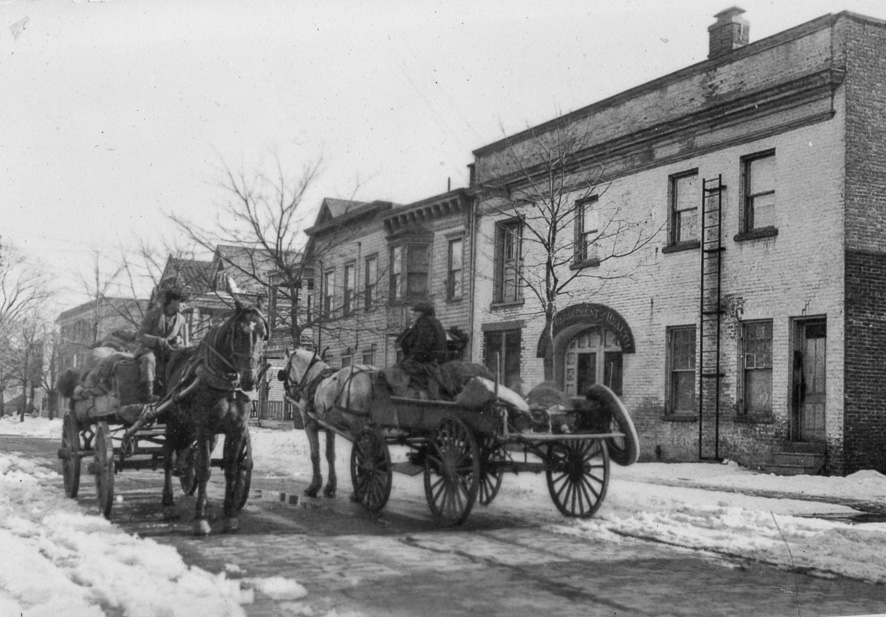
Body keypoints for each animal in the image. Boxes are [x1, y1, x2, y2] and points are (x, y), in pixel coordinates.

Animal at [160, 298, 268, 536]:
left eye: (263, 334)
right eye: (239, 332)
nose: (250, 380)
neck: (226, 383)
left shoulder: (236, 430)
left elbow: (231, 469)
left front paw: (229, 516)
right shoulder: (203, 428)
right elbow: (204, 469)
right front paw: (200, 519)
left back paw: (205, 500)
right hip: (174, 423)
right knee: (168, 460)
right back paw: (168, 503)